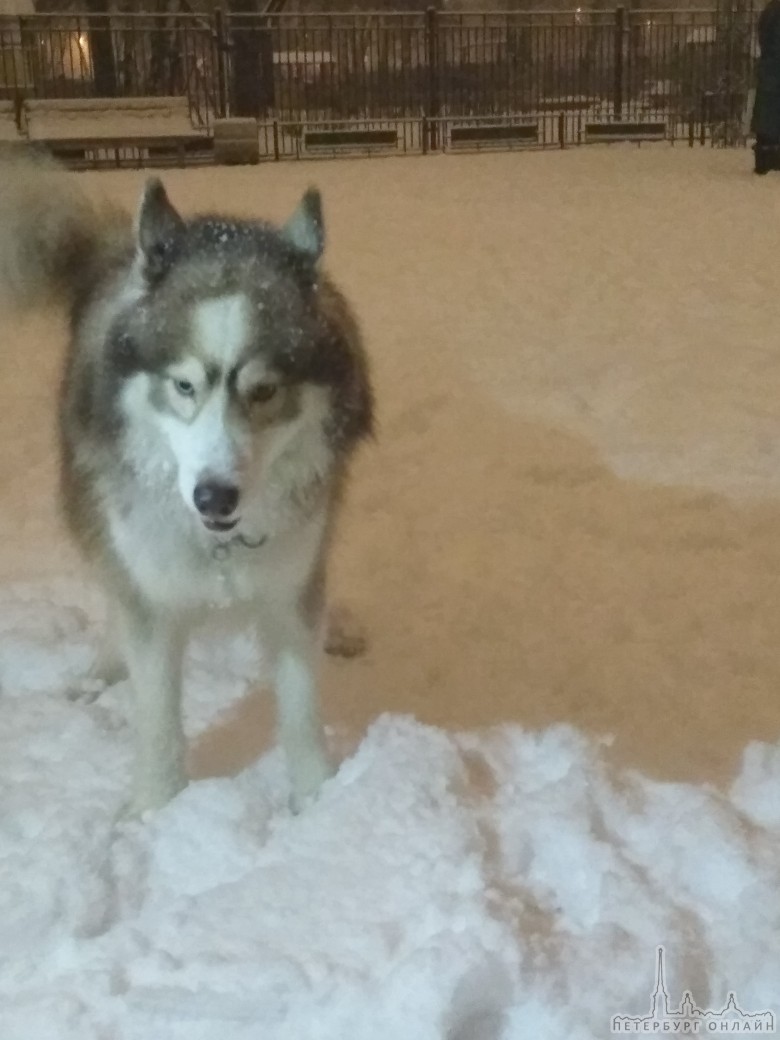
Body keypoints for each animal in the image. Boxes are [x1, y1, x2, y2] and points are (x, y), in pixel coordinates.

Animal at [0, 158, 372, 815]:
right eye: (182, 385)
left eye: (265, 390)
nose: (214, 497)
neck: (218, 545)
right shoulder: (150, 595)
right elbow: (157, 715)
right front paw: (155, 806)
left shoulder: (289, 588)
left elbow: (301, 707)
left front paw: (317, 798)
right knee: (110, 592)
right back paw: (101, 668)